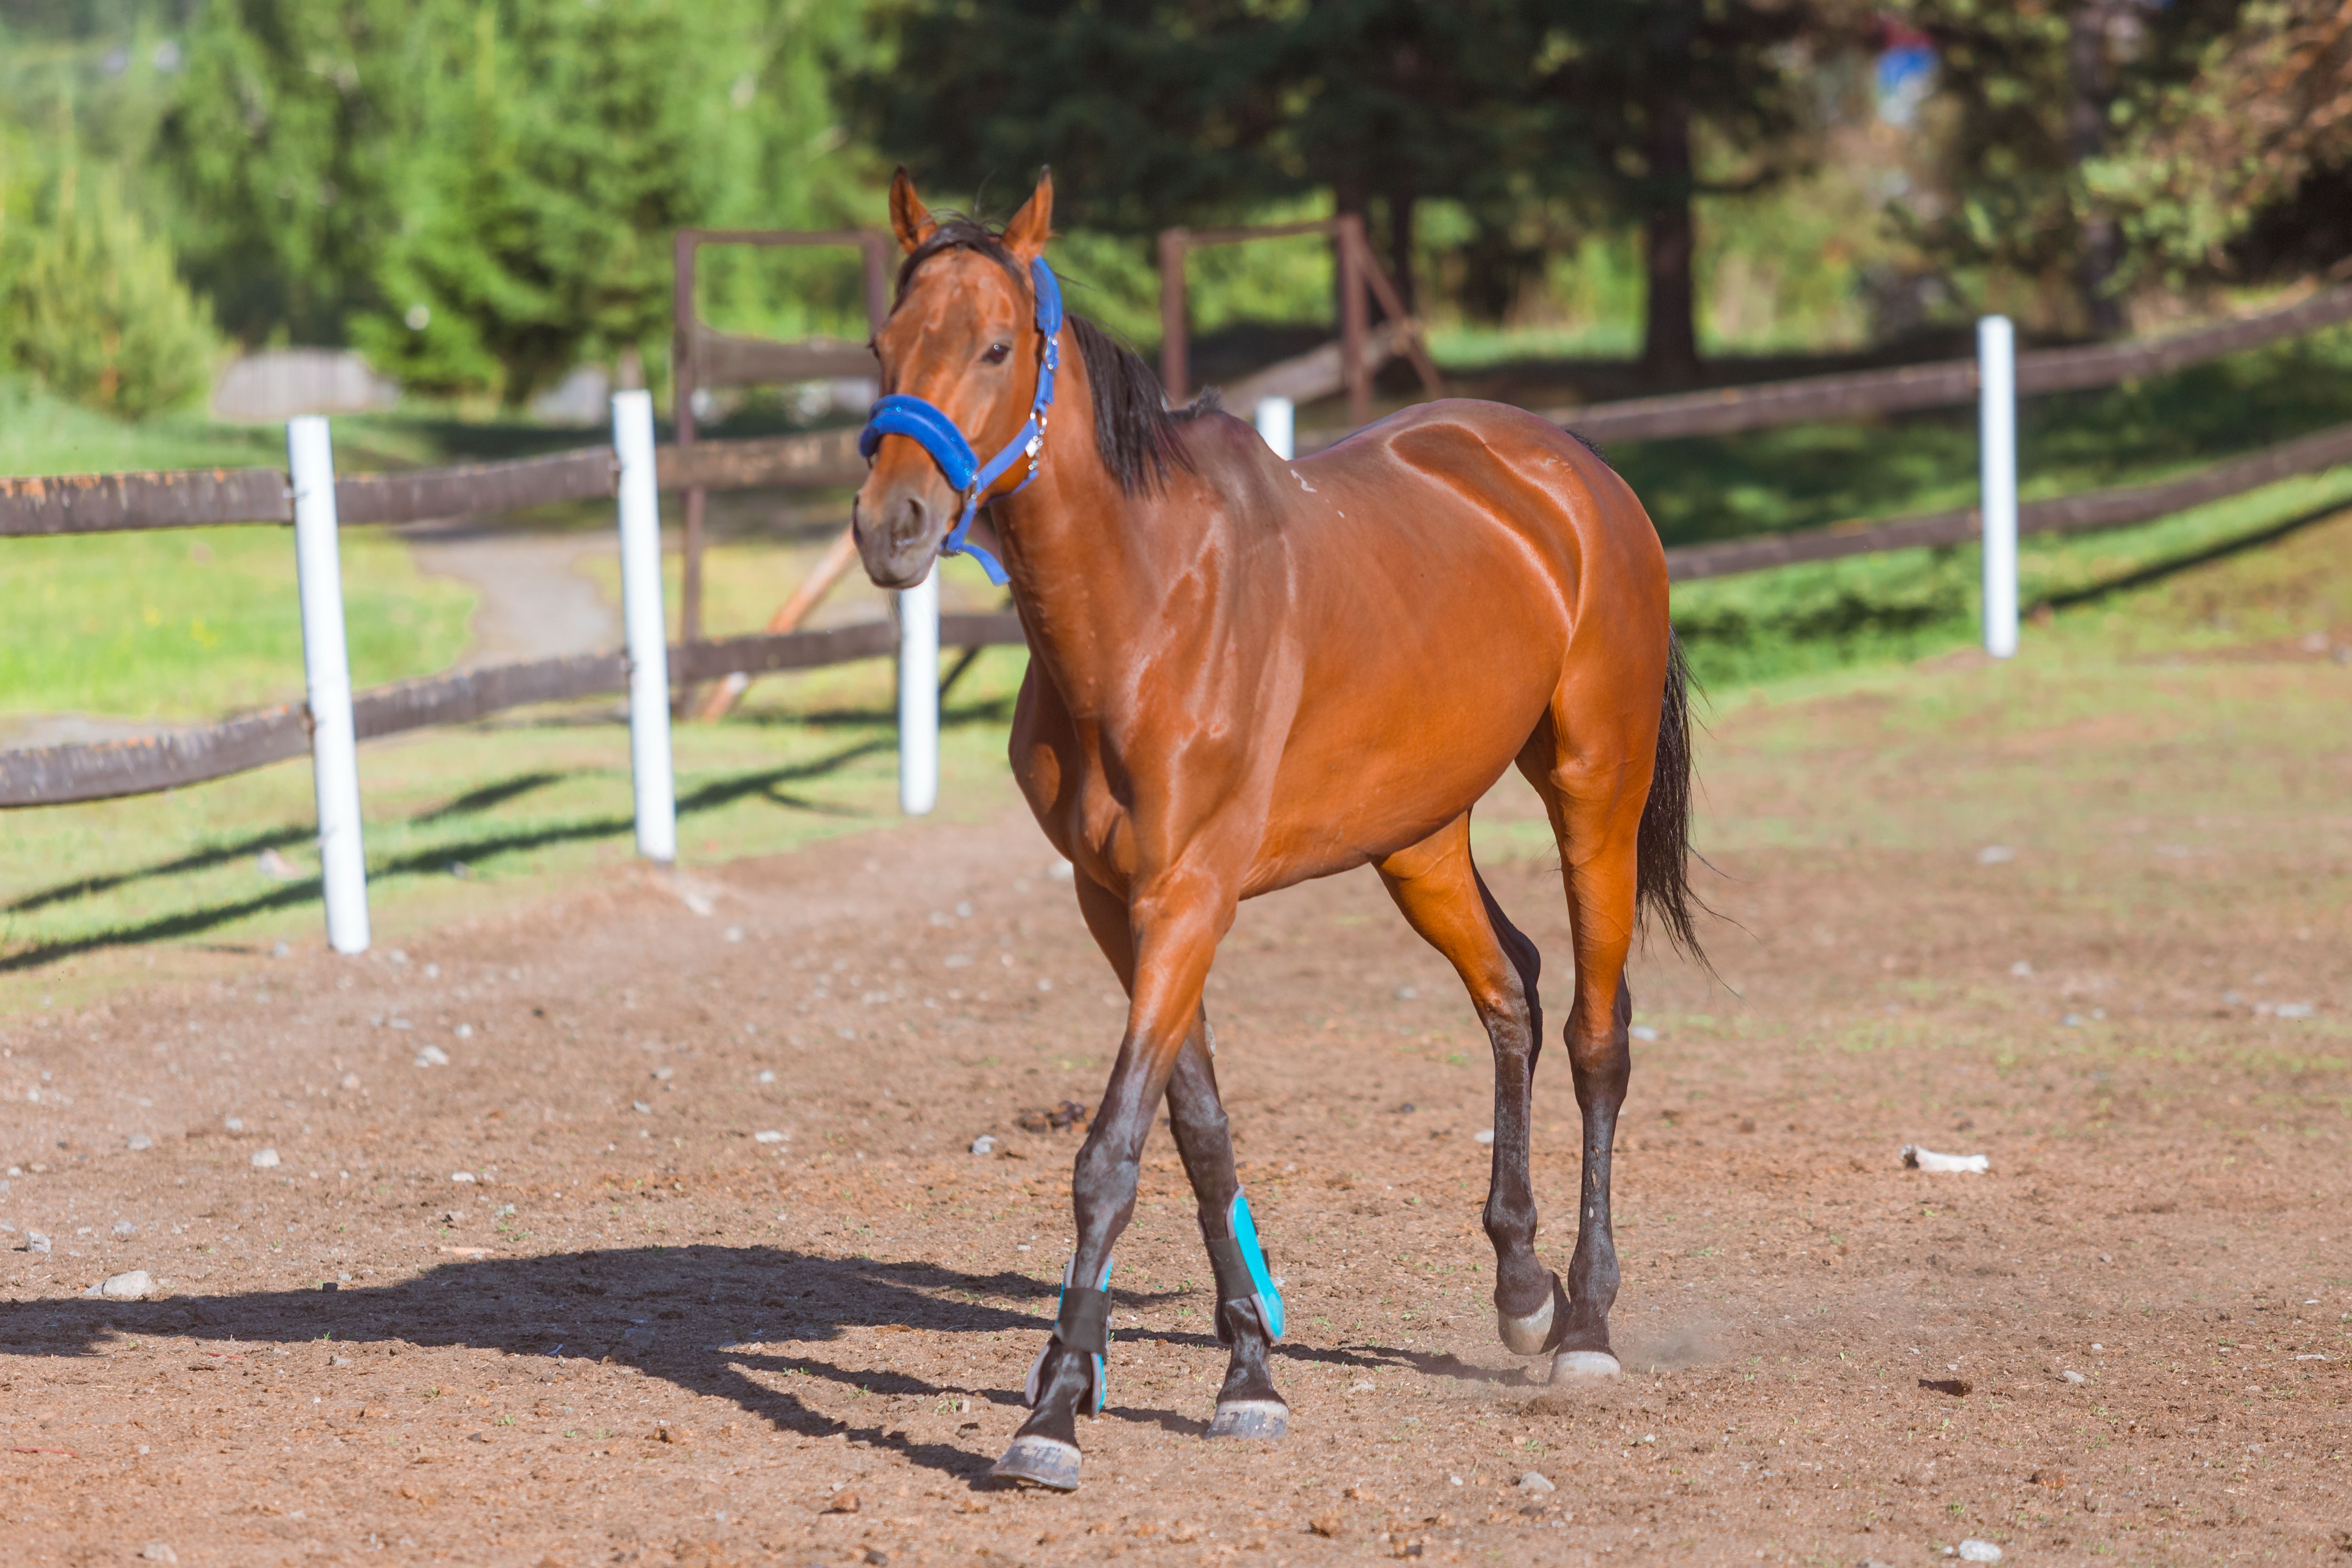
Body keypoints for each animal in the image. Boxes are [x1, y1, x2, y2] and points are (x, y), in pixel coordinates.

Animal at [856, 172, 1702, 1495]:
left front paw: (1054, 1408)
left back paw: (1587, 1326)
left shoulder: (1188, 896)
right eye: (880, 346)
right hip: (1417, 840)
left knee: (1594, 1038)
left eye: (995, 347)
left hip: (1593, 795)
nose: (889, 524)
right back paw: (1523, 1287)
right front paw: (1245, 1371)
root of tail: (1571, 472)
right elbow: (1197, 1130)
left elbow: (1111, 1152)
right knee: (1508, 990)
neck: (1146, 607)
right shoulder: (1121, 903)